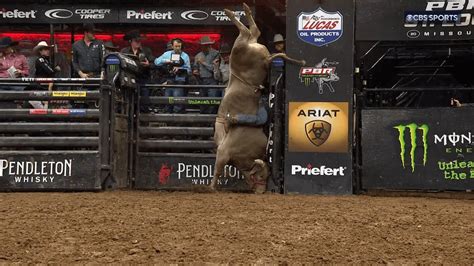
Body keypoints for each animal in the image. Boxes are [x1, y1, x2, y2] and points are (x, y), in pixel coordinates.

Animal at [210, 3, 304, 193]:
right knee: (252, 31)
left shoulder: (224, 151)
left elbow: (218, 167)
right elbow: (218, 169)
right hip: (243, 47)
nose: (261, 190)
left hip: (240, 49)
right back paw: (238, 11)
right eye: (261, 177)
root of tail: (266, 57)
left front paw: (212, 187)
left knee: (249, 31)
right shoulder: (224, 150)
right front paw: (213, 187)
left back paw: (234, 11)